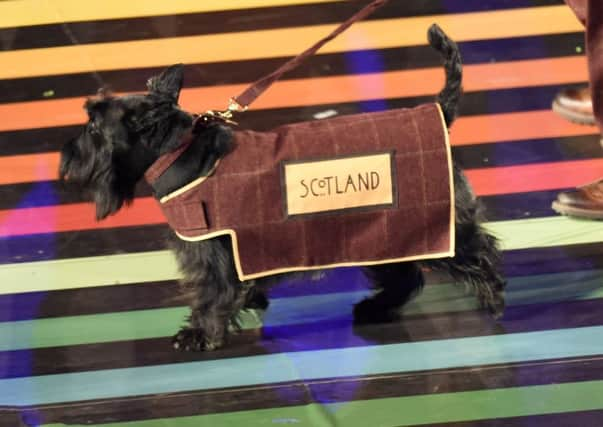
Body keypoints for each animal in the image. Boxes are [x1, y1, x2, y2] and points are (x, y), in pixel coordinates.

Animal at [60, 25, 504, 352]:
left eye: (94, 126)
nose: (66, 155)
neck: (181, 152)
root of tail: (440, 109)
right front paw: (248, 303)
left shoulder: (209, 254)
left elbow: (209, 294)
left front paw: (199, 334)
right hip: (385, 235)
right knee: (405, 277)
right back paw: (374, 308)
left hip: (437, 225)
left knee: (477, 251)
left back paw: (493, 298)